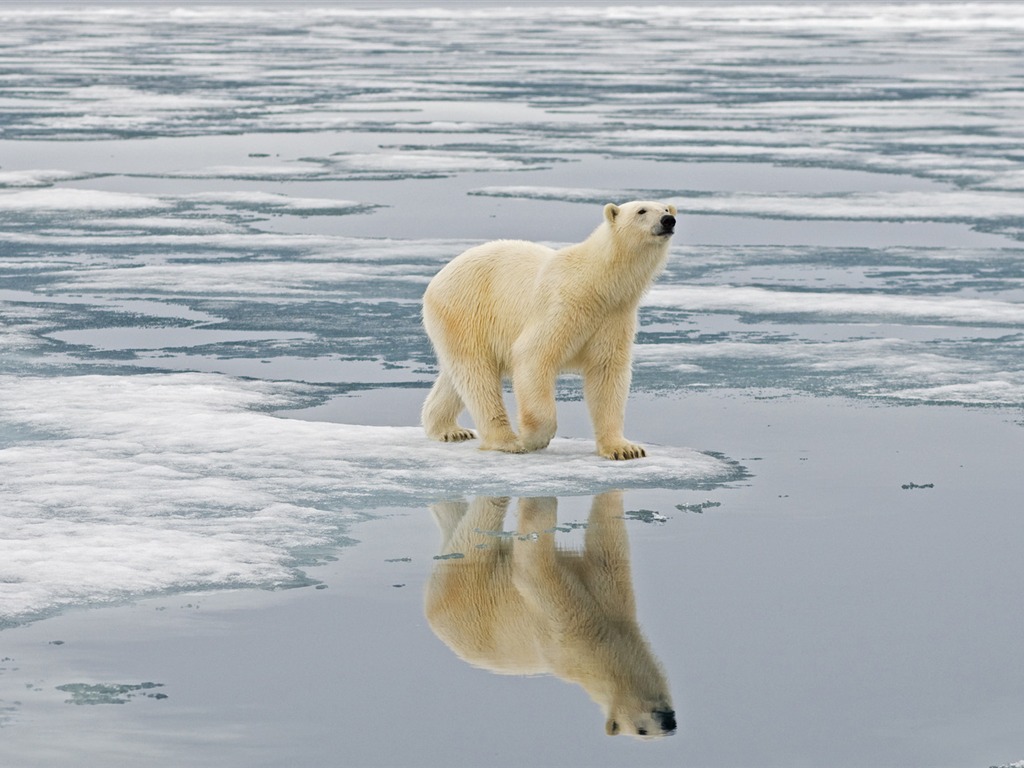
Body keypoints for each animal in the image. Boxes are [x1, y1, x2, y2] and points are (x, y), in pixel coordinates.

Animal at [419, 201, 675, 460]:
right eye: (642, 211)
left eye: (666, 209)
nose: (668, 221)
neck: (597, 283)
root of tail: (437, 279)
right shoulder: (563, 306)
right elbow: (533, 355)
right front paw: (533, 439)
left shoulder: (614, 317)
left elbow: (607, 373)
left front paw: (624, 448)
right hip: (466, 310)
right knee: (477, 375)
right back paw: (507, 441)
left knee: (456, 378)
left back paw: (449, 430)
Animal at [425, 493, 679, 741]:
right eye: (641, 730)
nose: (668, 722)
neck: (601, 645)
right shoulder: (566, 629)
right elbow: (532, 568)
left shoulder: (609, 597)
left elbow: (605, 541)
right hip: (467, 586)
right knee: (482, 526)